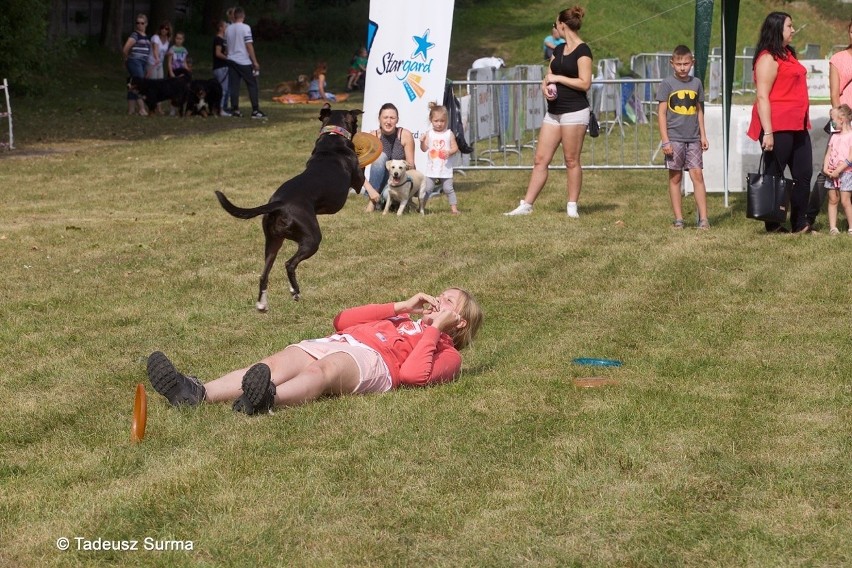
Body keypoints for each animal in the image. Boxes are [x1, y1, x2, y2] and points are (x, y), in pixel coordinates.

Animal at [215, 106, 364, 310]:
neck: (333, 136)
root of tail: (279, 203)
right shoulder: (358, 182)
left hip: (273, 242)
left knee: (264, 274)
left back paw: (262, 304)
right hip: (311, 239)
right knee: (289, 263)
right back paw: (295, 291)